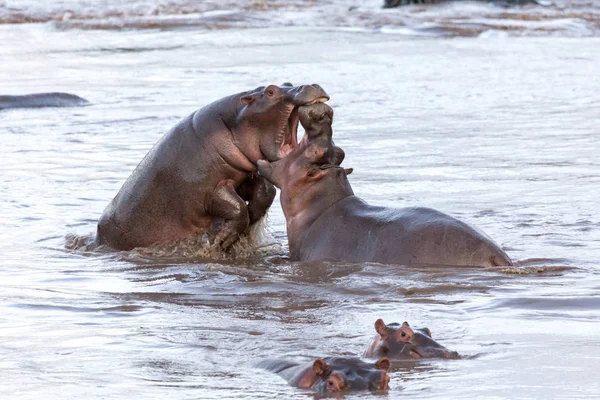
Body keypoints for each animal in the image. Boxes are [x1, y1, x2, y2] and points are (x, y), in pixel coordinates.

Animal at [95, 83, 328, 252]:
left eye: (287, 83)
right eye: (270, 91)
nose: (311, 85)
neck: (233, 123)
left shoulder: (241, 177)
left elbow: (264, 191)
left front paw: (249, 221)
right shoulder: (210, 191)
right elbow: (237, 207)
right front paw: (222, 240)